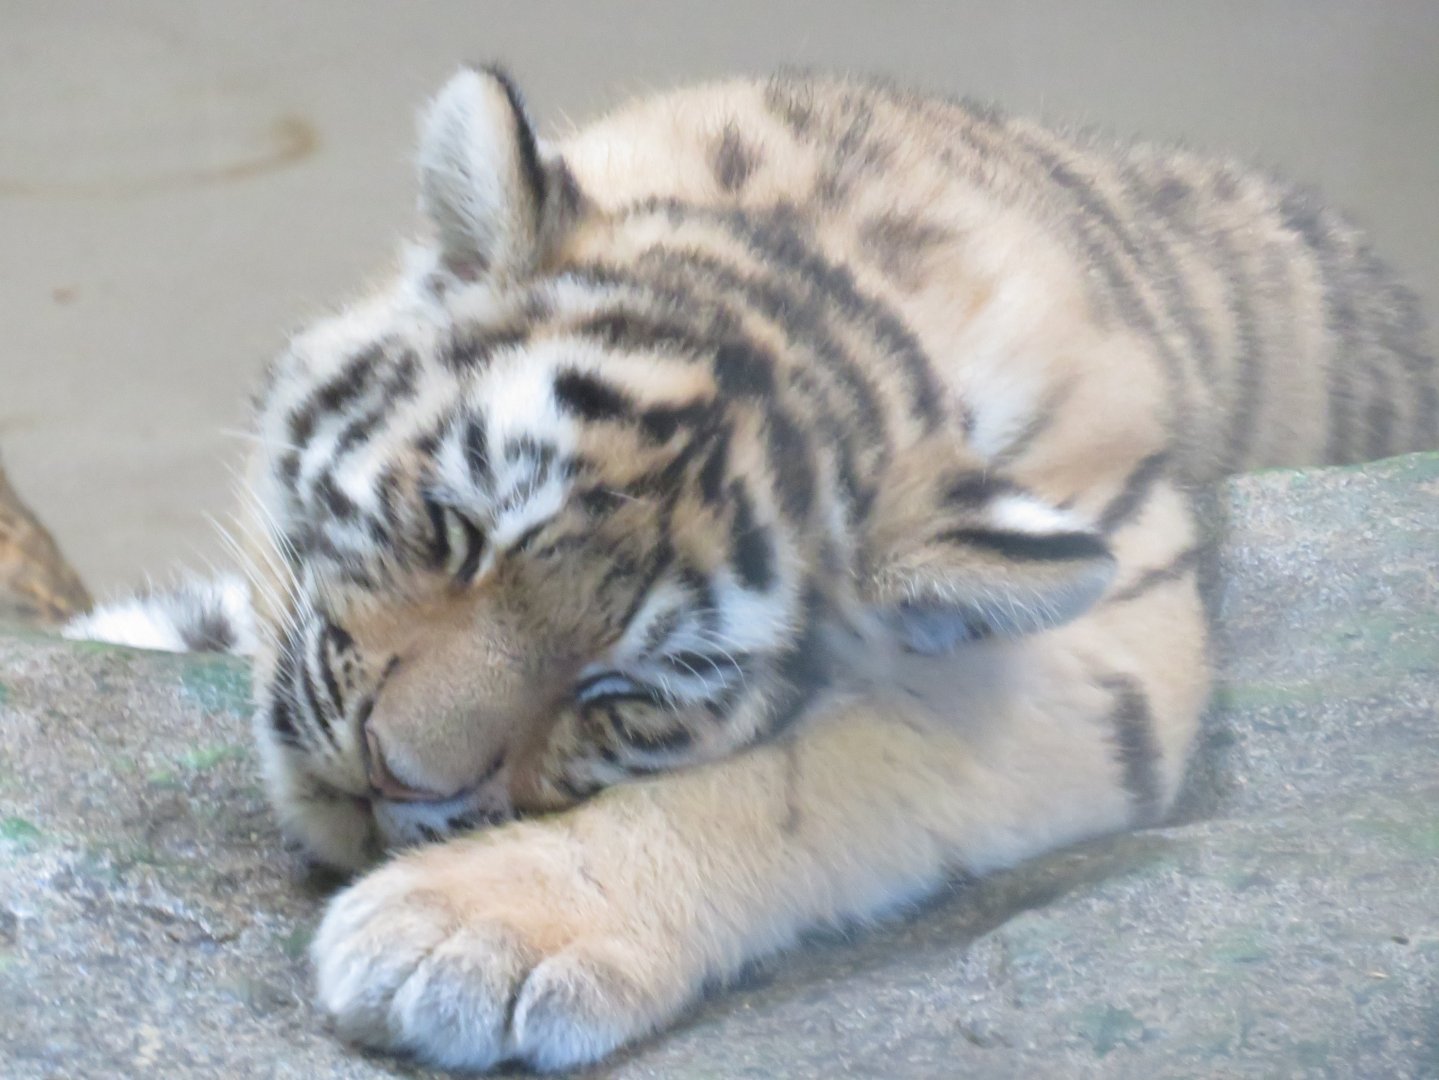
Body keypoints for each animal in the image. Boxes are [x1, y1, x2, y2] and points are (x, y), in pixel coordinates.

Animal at [65, 66, 1438, 1072]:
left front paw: (466, 932)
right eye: (454, 527)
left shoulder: (1111, 649)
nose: (387, 776)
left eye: (623, 690)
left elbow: (790, 783)